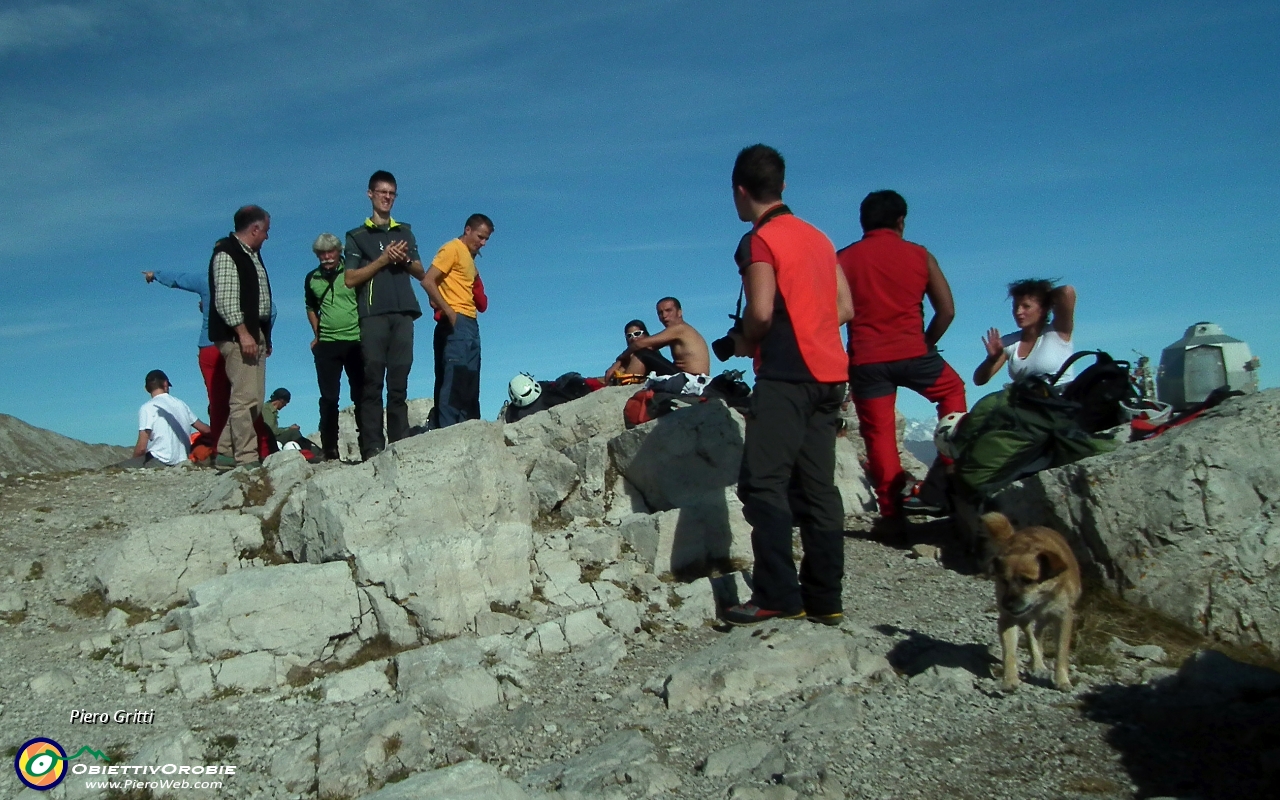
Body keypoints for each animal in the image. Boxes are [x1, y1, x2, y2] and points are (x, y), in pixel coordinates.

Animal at [977, 514, 1080, 691]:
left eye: (1027, 581)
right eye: (1004, 580)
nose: (1006, 605)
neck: (1041, 599)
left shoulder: (1063, 617)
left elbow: (1061, 652)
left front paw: (1062, 680)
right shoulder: (1008, 620)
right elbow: (1009, 652)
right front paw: (1010, 679)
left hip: (1044, 618)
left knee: (1038, 633)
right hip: (1026, 619)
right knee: (1031, 635)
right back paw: (1037, 663)